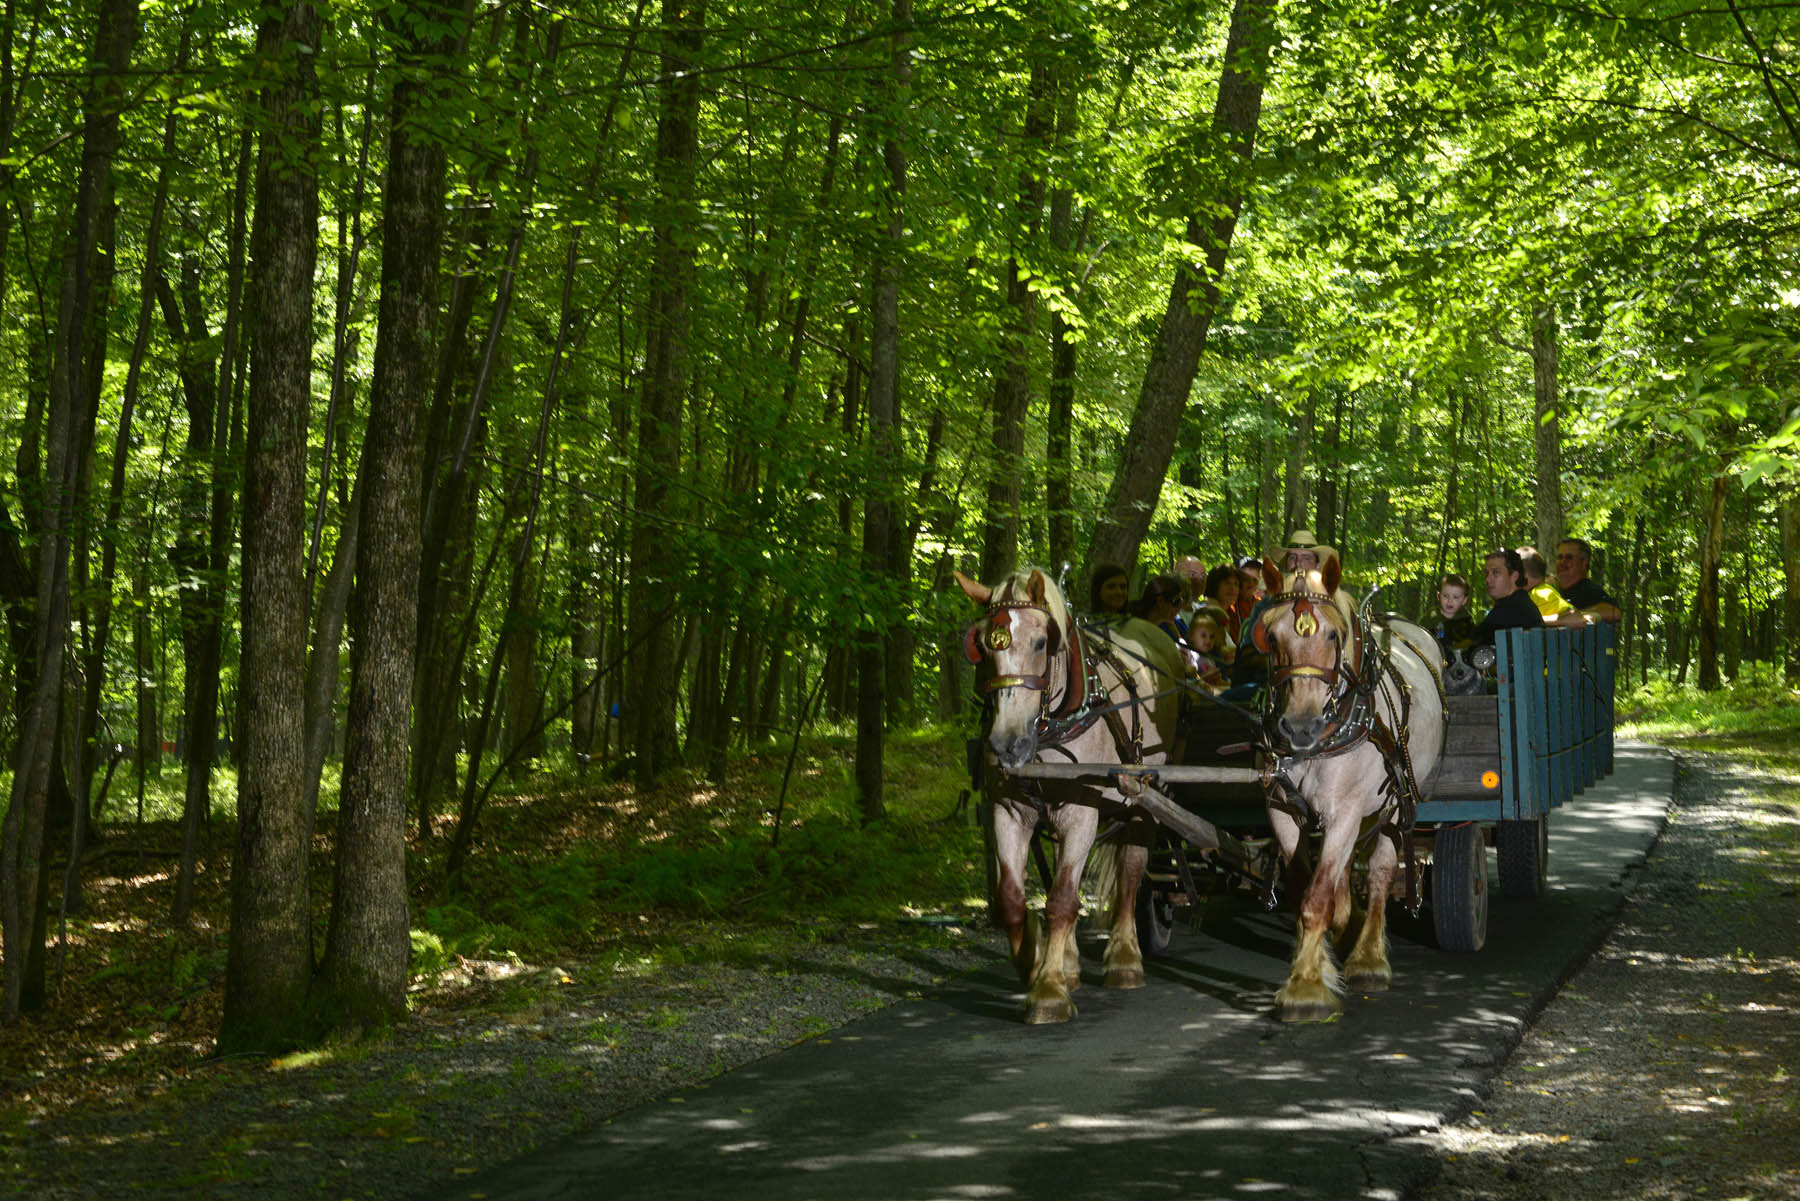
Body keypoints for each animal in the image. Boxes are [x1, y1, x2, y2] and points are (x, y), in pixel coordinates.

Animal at [950, 568, 1188, 1022]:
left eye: (1041, 642)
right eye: (982, 645)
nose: (1006, 745)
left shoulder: (1081, 813)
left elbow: (1062, 900)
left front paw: (1048, 992)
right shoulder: (1008, 810)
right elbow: (1013, 899)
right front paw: (1033, 963)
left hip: (1143, 800)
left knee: (1131, 872)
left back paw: (1124, 959)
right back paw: (1071, 963)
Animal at [1252, 558, 1447, 1022]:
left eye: (1332, 635)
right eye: (1271, 635)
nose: (1298, 728)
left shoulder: (1345, 811)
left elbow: (1317, 898)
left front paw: (1304, 988)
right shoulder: (1281, 810)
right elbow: (1303, 889)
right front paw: (1320, 962)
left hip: (1394, 802)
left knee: (1380, 871)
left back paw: (1369, 958)